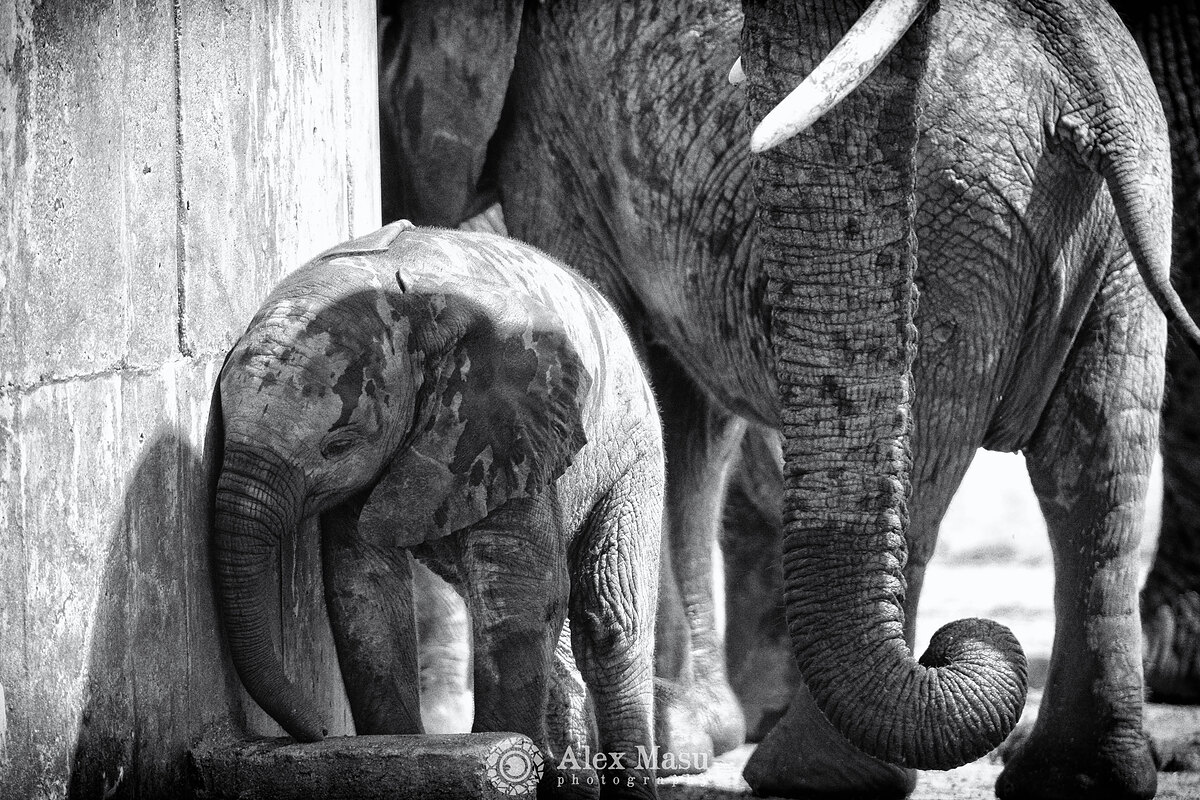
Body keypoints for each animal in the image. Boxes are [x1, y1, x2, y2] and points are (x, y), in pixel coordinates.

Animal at [211, 220, 664, 798]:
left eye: (339, 445)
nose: (318, 732)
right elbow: (366, 591)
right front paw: (393, 751)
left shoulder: (513, 424)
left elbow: (519, 589)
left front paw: (503, 753)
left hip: (634, 454)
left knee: (609, 621)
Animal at [379, 0, 1200, 797]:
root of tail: (1084, 85)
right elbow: (688, 418)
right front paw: (694, 732)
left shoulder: (554, 134)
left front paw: (675, 739)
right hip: (1115, 234)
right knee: (1097, 463)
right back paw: (1073, 775)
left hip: (958, 230)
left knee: (934, 465)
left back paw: (812, 771)